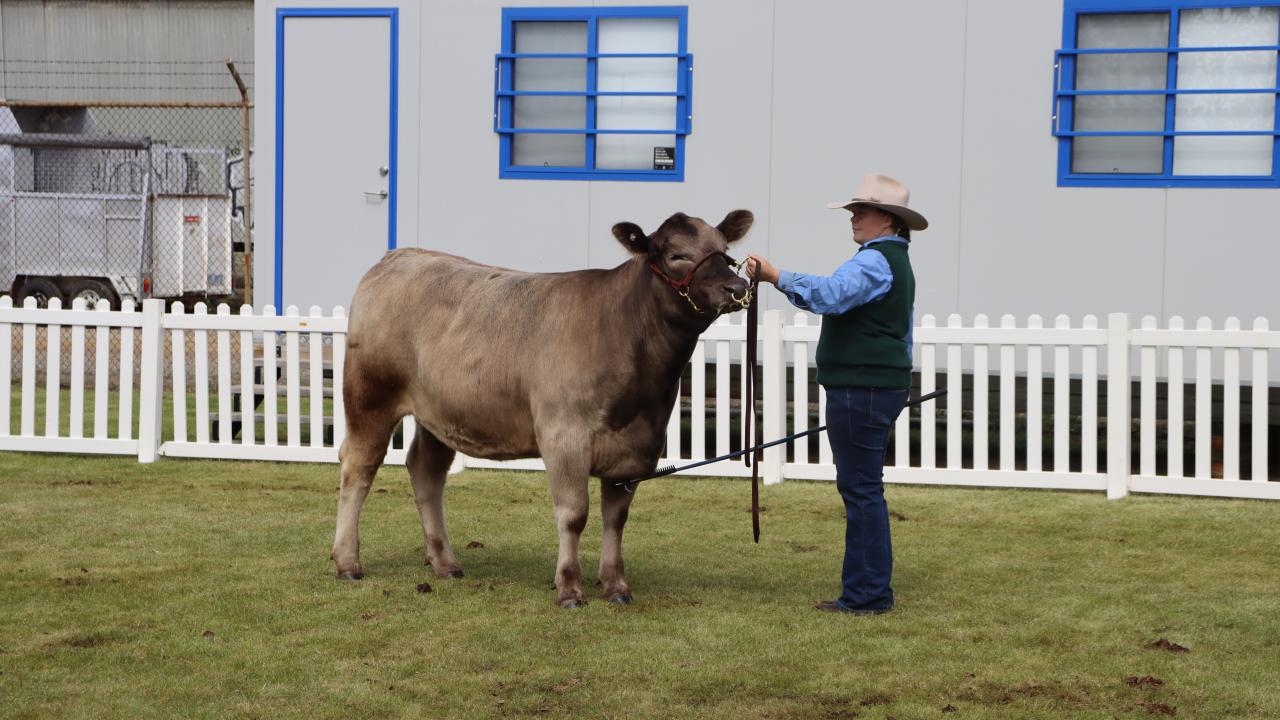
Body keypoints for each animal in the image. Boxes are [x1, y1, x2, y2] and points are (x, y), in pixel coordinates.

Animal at [332, 209, 754, 607]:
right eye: (676, 255)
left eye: (725, 251)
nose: (737, 287)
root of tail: (400, 256)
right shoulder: (564, 436)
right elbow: (574, 514)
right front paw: (569, 588)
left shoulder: (635, 449)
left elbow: (616, 519)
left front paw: (616, 586)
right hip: (370, 396)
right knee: (359, 467)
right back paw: (348, 562)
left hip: (438, 412)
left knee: (426, 470)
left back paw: (445, 563)